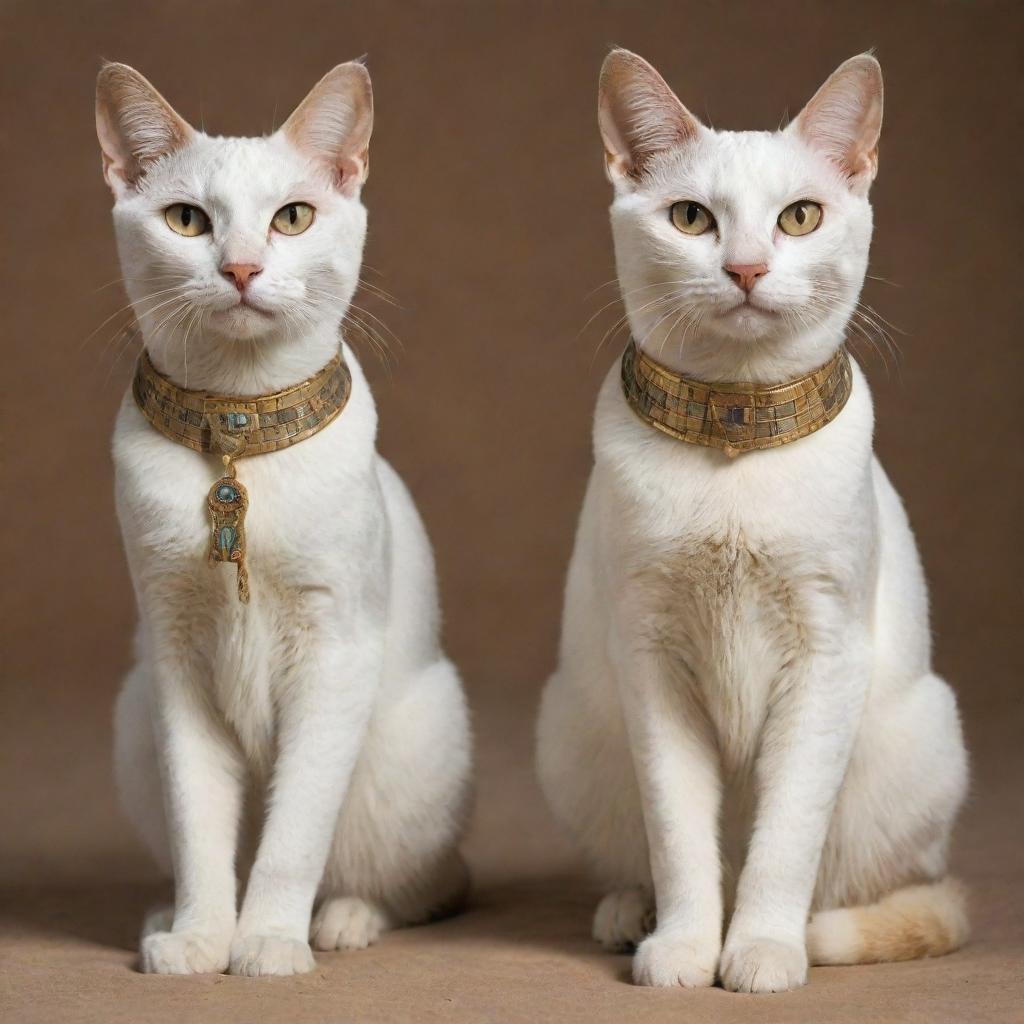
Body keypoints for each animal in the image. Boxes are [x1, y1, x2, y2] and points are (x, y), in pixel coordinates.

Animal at [96, 61, 471, 974]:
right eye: (187, 219)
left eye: (291, 217)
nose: (239, 268)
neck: (238, 432)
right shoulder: (176, 658)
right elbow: (200, 828)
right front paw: (201, 939)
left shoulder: (333, 651)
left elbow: (294, 833)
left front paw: (266, 941)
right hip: (132, 714)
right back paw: (163, 918)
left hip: (413, 738)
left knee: (421, 884)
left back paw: (342, 921)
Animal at [536, 49, 966, 991]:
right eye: (691, 218)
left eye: (799, 217)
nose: (744, 268)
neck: (733, 427)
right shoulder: (651, 658)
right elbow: (679, 834)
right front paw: (687, 948)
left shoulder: (826, 653)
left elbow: (783, 840)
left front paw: (763, 949)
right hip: (574, 726)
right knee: (642, 855)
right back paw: (631, 915)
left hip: (921, 738)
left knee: (897, 887)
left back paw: (814, 929)